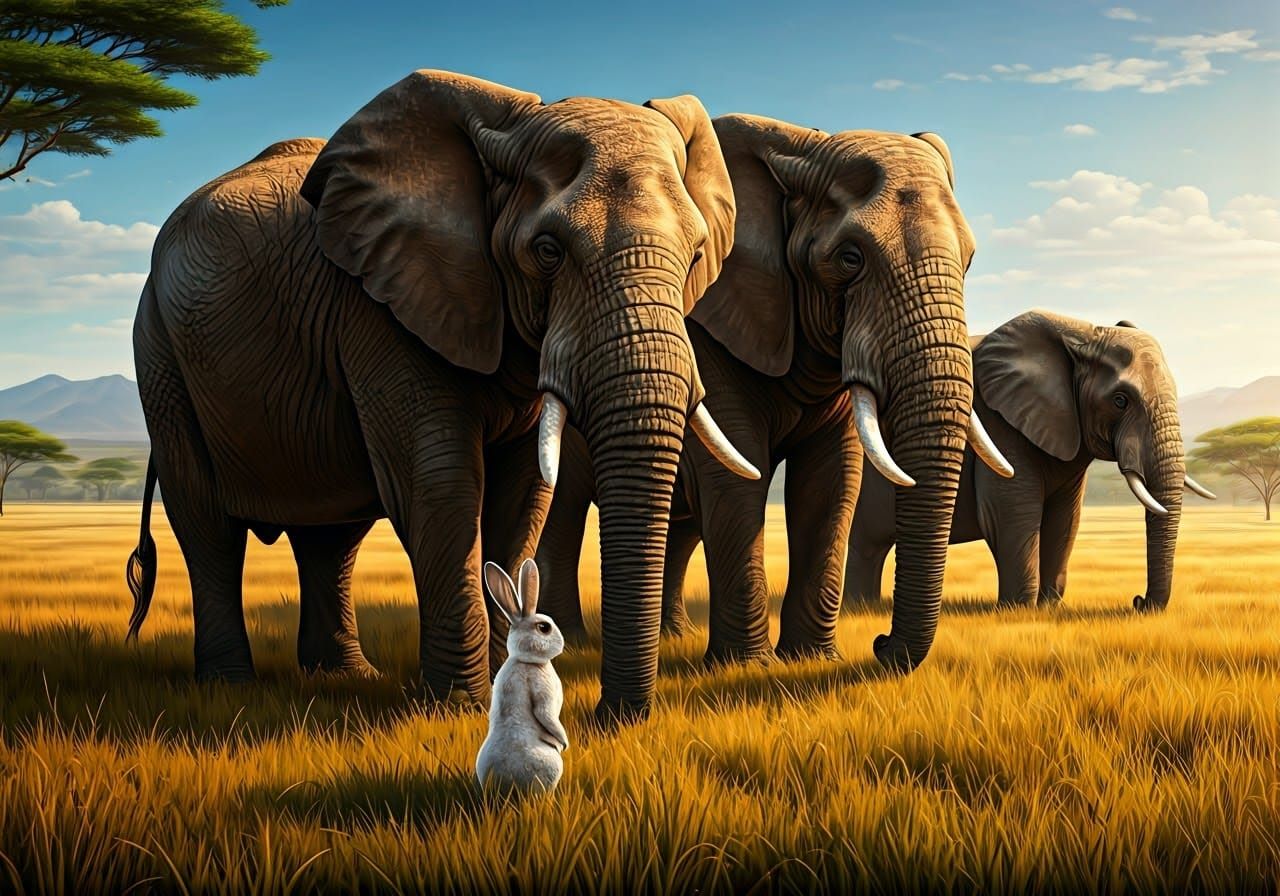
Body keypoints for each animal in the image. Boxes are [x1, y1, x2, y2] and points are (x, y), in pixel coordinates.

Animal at [124, 70, 761, 721]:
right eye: (548, 252)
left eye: (696, 254)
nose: (609, 717)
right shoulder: (381, 303)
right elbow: (440, 482)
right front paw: (457, 706)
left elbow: (522, 494)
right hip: (160, 350)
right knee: (205, 521)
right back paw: (229, 687)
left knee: (331, 537)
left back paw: (345, 675)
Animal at [535, 113, 1014, 673]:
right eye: (850, 258)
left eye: (970, 259)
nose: (880, 645)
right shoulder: (708, 332)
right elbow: (738, 477)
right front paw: (747, 667)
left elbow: (832, 480)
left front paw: (810, 659)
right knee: (564, 510)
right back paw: (570, 640)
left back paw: (672, 635)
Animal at [844, 311, 1215, 610]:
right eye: (1120, 400)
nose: (1138, 601)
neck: (1082, 333)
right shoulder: (998, 421)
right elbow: (1011, 515)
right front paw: (1017, 611)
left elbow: (1065, 520)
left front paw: (1048, 607)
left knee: (867, 546)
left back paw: (862, 608)